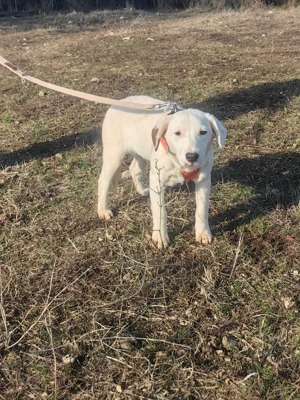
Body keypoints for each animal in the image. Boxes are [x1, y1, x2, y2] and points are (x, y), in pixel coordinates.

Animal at [97, 95, 226, 248]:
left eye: (203, 132)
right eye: (177, 133)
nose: (192, 156)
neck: (178, 163)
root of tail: (119, 103)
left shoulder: (204, 180)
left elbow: (202, 208)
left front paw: (203, 233)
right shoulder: (157, 181)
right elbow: (160, 211)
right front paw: (160, 237)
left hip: (141, 152)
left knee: (134, 169)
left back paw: (142, 190)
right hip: (114, 155)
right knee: (102, 181)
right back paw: (103, 210)